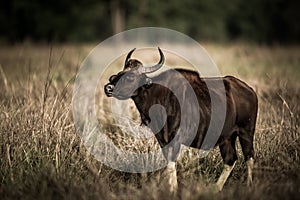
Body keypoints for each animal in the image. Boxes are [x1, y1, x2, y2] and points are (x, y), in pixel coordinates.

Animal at [103, 47, 258, 192]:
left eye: (130, 77)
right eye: (115, 76)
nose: (108, 87)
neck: (161, 98)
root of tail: (250, 90)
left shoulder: (176, 139)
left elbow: (172, 164)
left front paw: (173, 190)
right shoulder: (163, 140)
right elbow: (169, 164)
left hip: (246, 132)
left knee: (249, 157)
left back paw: (249, 186)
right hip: (227, 137)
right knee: (230, 159)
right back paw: (216, 188)